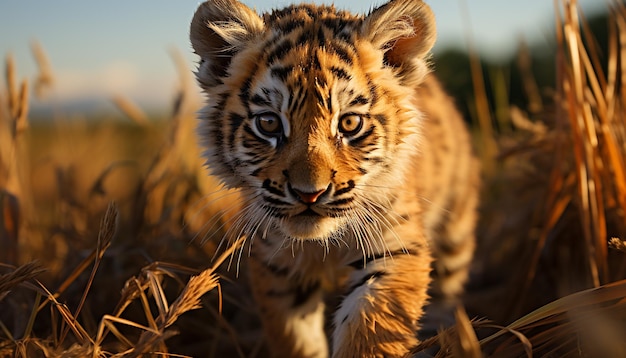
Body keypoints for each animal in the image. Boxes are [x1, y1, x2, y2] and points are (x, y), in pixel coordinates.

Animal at [189, 0, 478, 356]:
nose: (309, 194)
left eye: (350, 123)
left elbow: (372, 331)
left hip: (455, 236)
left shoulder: (395, 247)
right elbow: (296, 339)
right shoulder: (277, 266)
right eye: (269, 123)